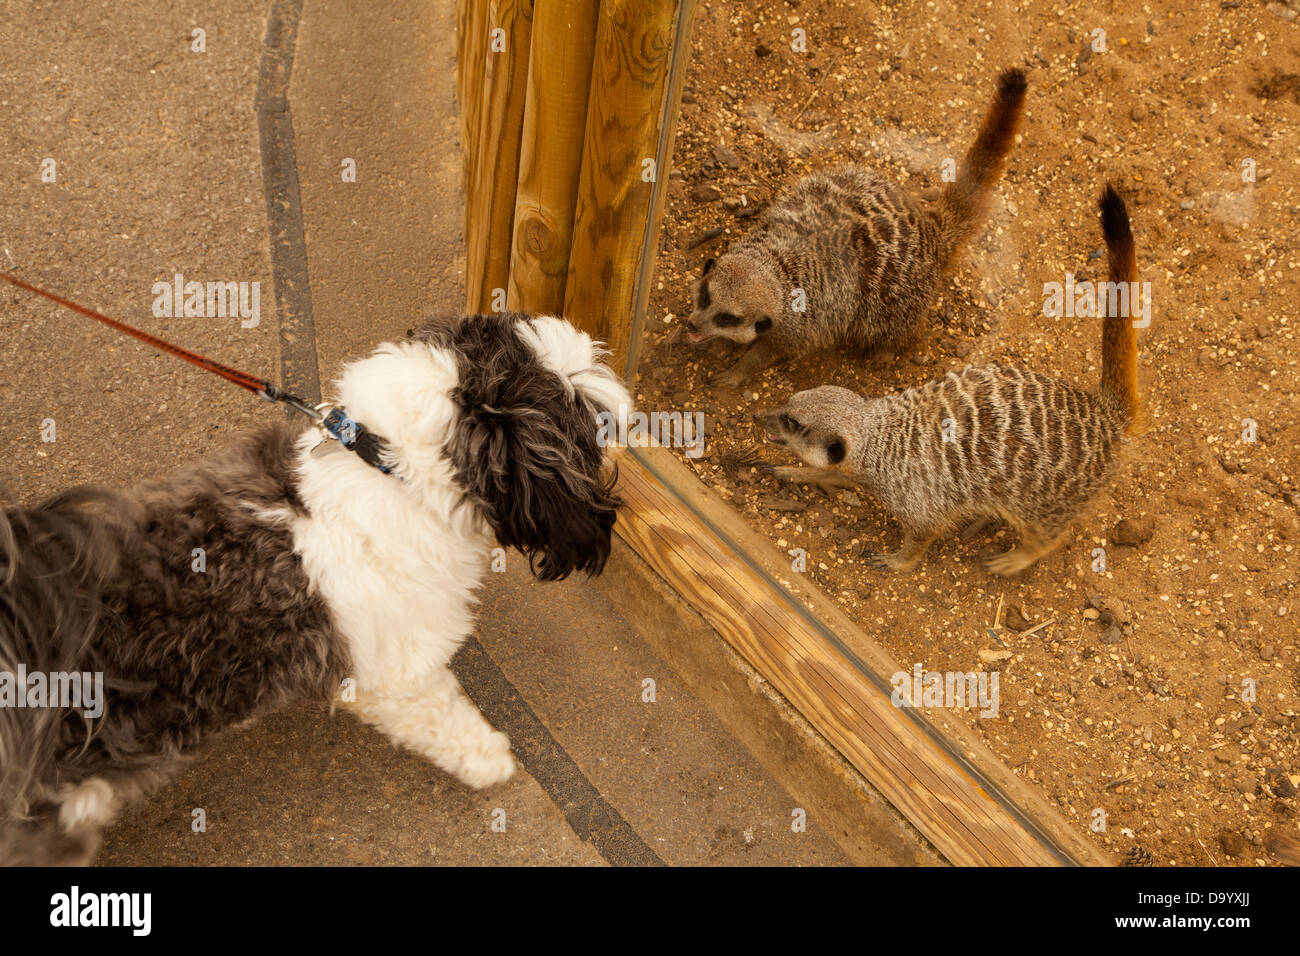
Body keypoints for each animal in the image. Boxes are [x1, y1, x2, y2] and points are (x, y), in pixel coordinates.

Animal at [0, 314, 629, 868]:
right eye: (586, 420)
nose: (627, 408)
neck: (385, 469)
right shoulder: (395, 672)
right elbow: (443, 716)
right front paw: (489, 759)